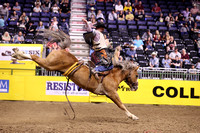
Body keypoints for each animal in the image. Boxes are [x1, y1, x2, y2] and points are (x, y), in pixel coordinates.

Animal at [10, 30, 139, 120]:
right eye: (137, 75)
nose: (136, 87)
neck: (112, 75)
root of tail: (62, 50)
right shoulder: (112, 93)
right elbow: (121, 105)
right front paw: (133, 116)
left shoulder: (110, 94)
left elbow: (121, 105)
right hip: (49, 65)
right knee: (34, 57)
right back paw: (17, 53)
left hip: (50, 64)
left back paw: (16, 54)